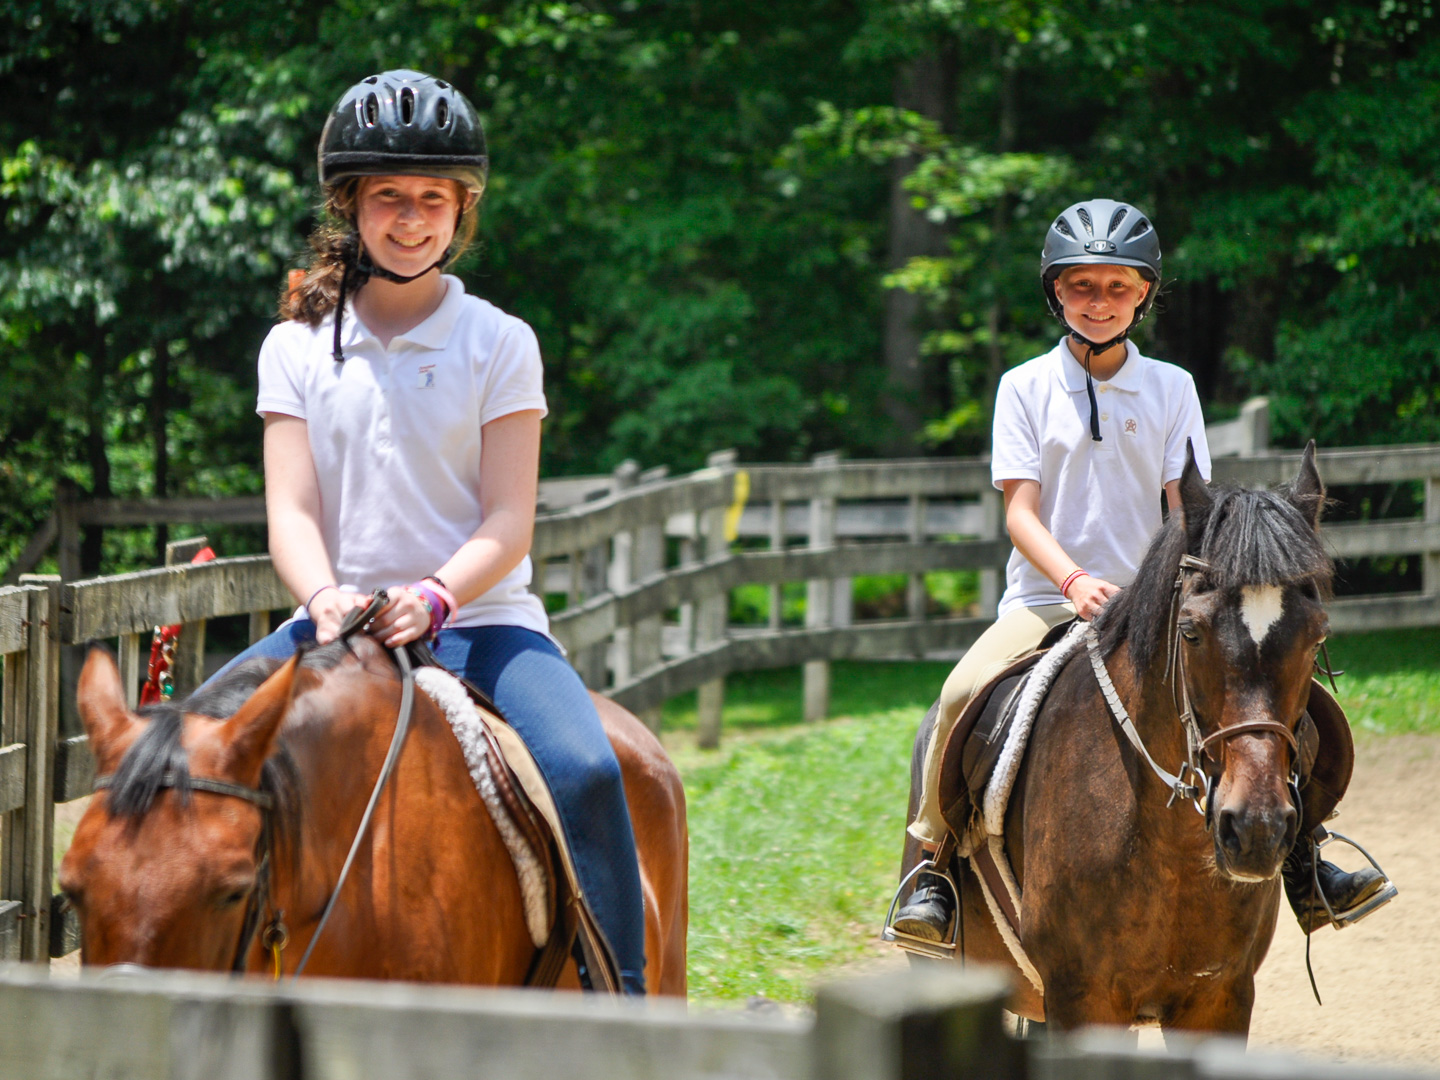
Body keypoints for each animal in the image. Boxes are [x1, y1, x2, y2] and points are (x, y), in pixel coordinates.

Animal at [904, 443, 1330, 1036]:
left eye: (1316, 637)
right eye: (1190, 632)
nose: (1256, 828)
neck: (1170, 844)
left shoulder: (1220, 999)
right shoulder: (1081, 999)